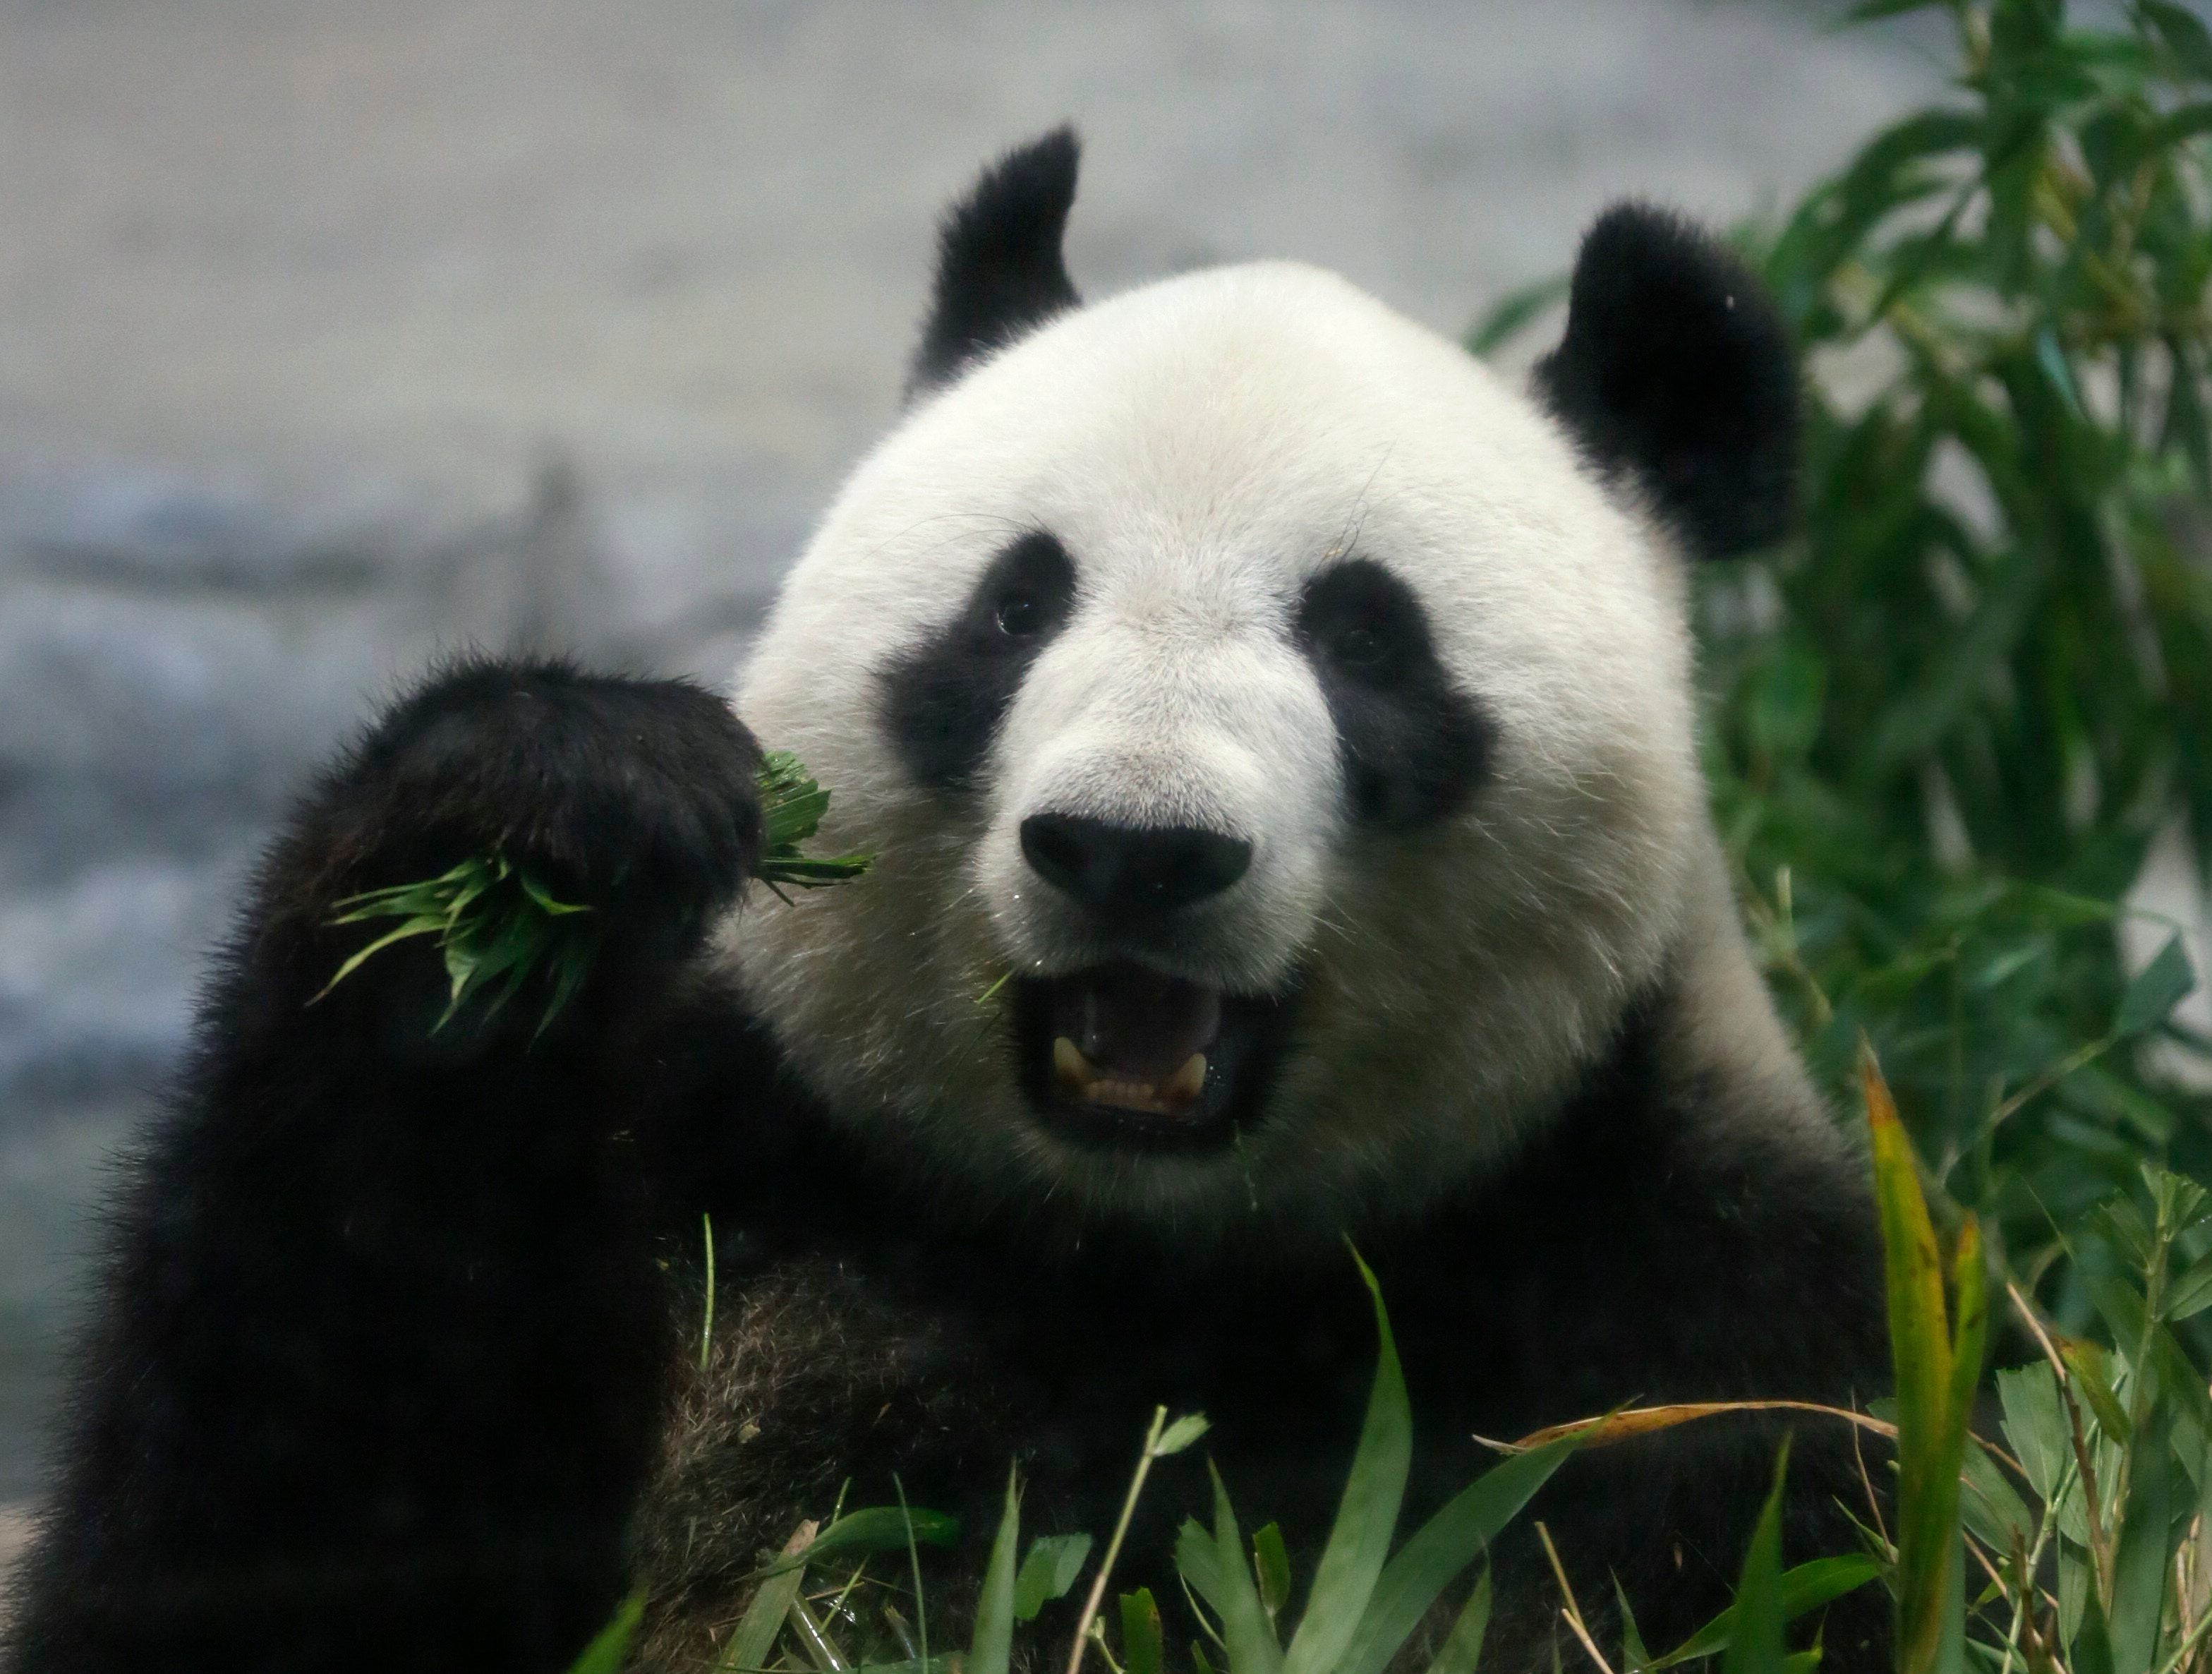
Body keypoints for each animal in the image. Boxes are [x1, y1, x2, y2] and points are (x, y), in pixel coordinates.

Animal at [5, 130, 1890, 1674]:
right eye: (1013, 606)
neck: (1135, 1251)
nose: (1134, 847)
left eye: (1366, 636)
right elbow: (264, 1536)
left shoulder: (1693, 1333)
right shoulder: (731, 1164)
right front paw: (527, 849)